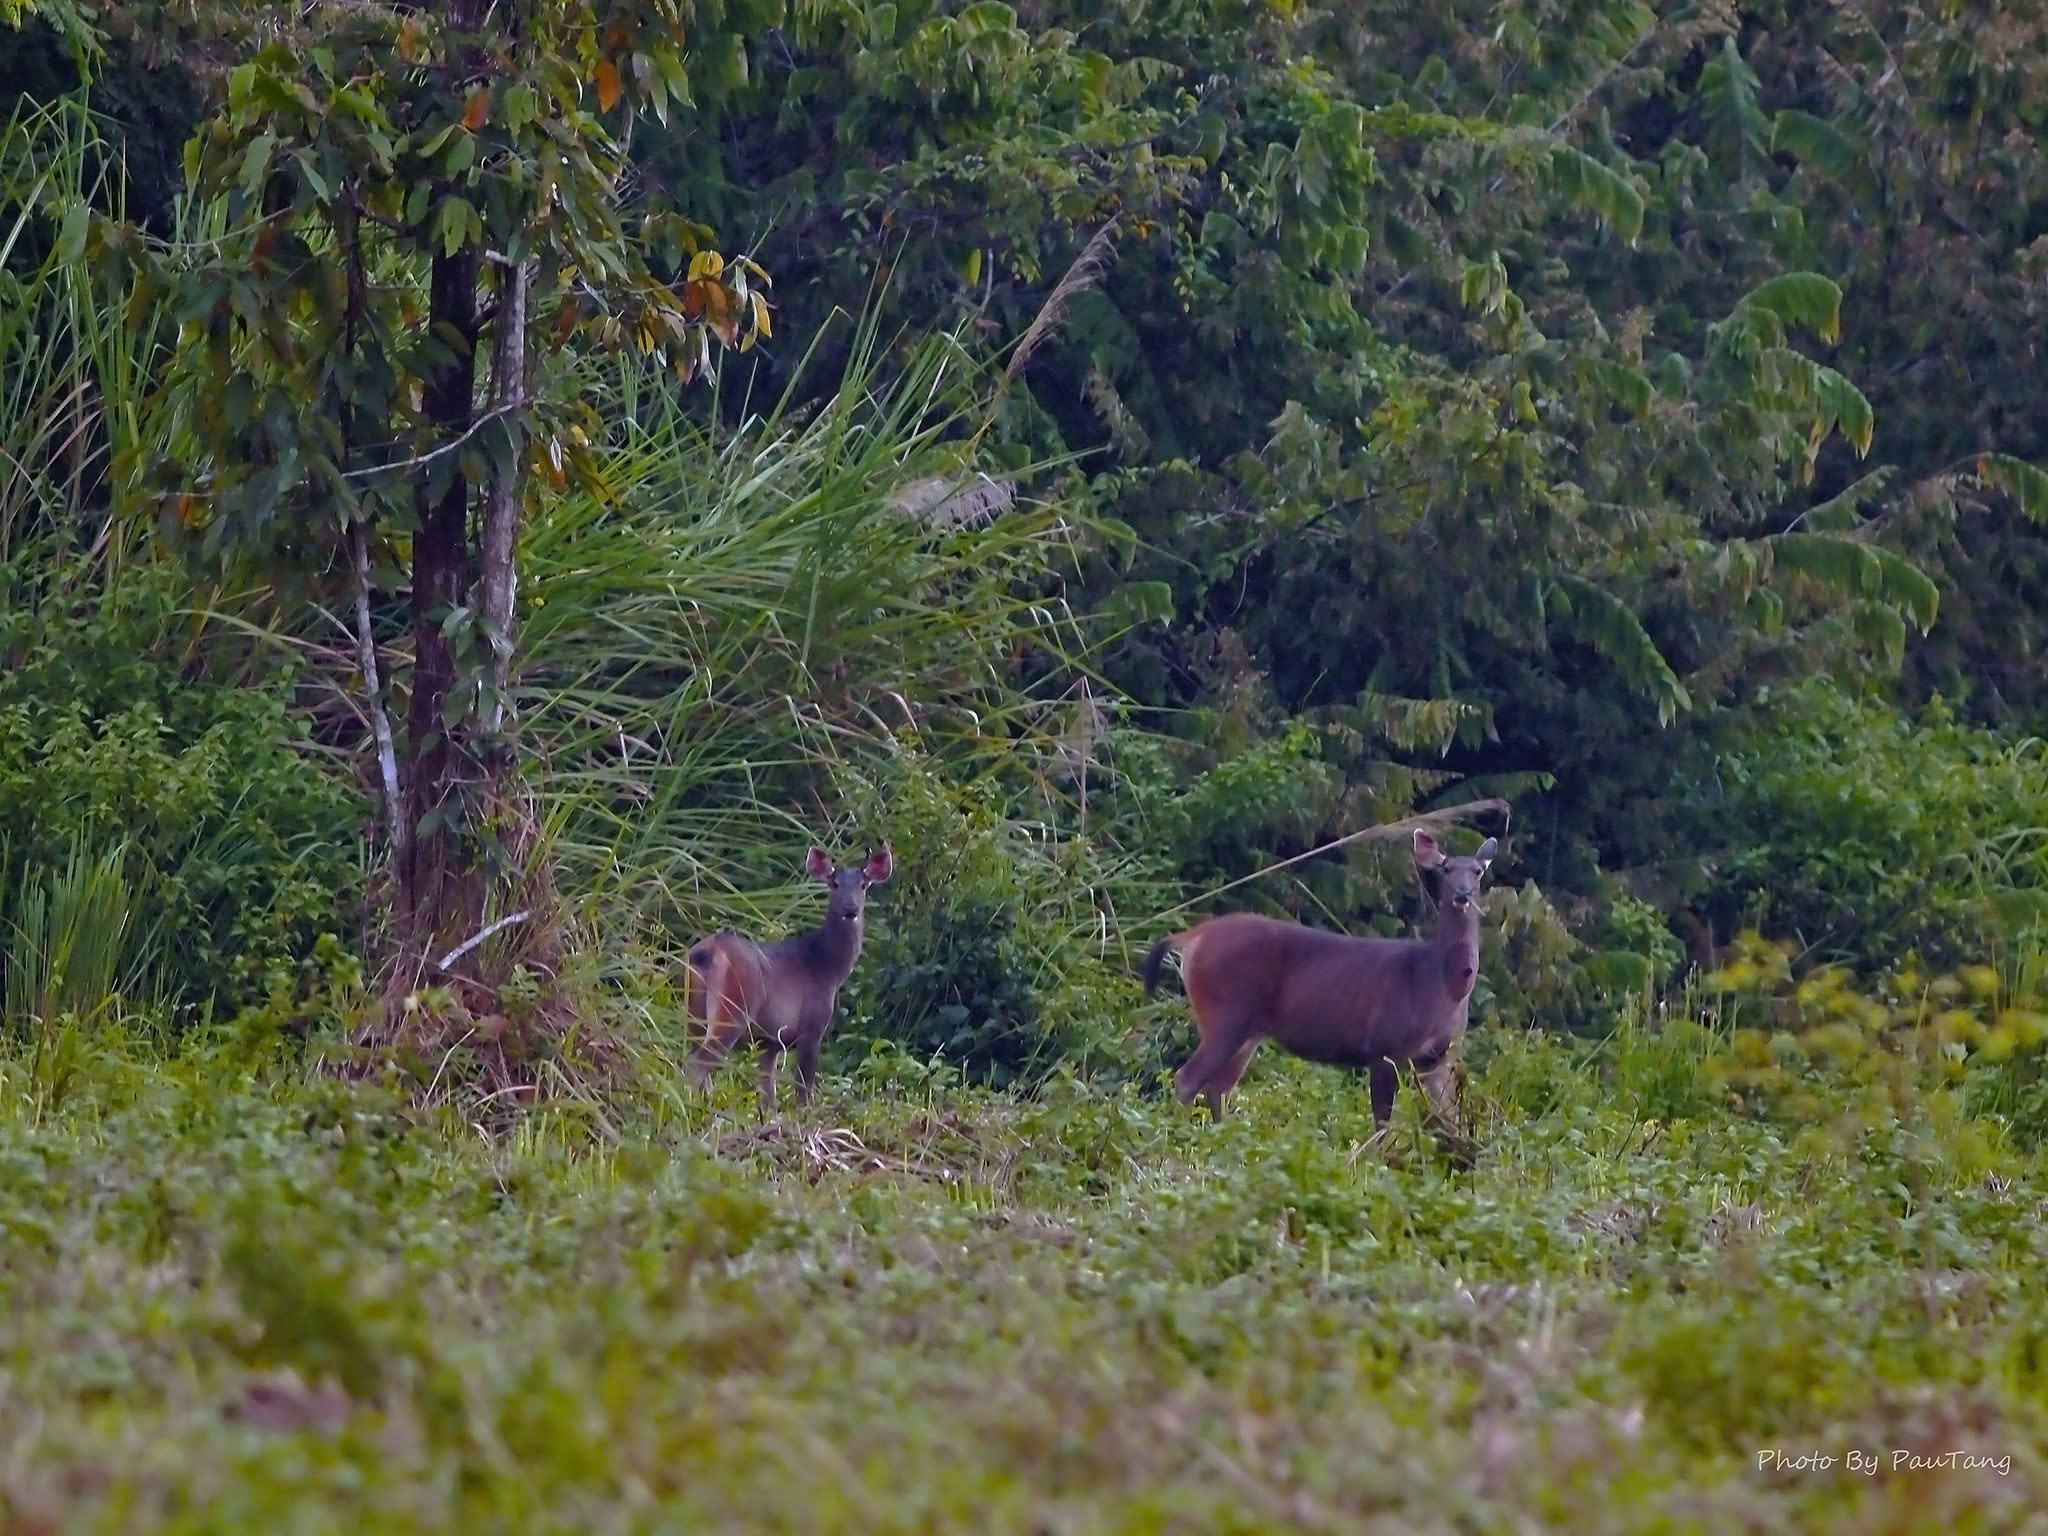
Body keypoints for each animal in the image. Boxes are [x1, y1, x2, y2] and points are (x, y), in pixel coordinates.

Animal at [684, 847, 892, 1114]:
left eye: (863, 885)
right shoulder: (811, 1029)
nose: (850, 909)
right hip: (733, 1009)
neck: (828, 966)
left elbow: (768, 1095)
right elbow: (802, 1091)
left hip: (693, 1013)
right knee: (697, 1065)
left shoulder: (770, 1041)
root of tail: (706, 953)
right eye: (834, 884)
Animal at [1146, 831, 1499, 1146]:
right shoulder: (1383, 1045)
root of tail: (1193, 936)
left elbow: (1448, 1120)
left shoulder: (1441, 1058)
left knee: (1218, 1087)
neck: (1441, 984)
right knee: (1187, 1079)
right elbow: (1381, 1124)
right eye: (1446, 868)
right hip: (1225, 1013)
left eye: (1478, 870)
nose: (1462, 895)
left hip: (1247, 1030)